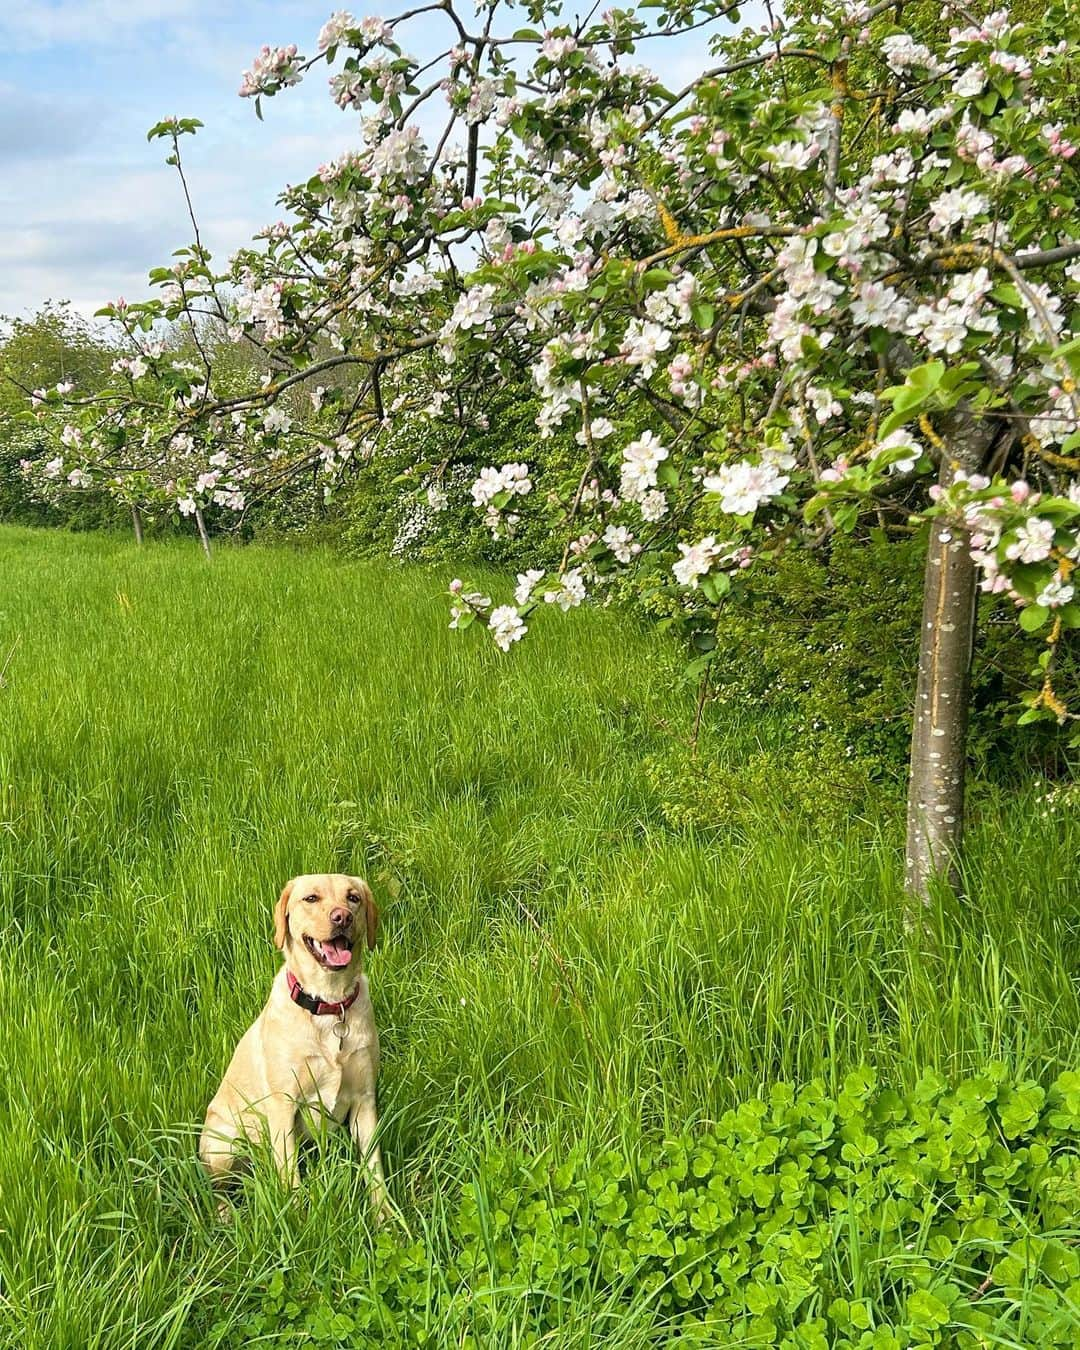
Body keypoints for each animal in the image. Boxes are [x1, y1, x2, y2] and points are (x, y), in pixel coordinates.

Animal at [199, 874, 391, 1215]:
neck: (329, 1005)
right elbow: (290, 1176)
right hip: (223, 1144)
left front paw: (386, 1218)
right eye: (311, 898)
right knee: (218, 1190)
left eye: (353, 897)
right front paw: (299, 1217)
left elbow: (374, 1170)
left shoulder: (365, 1102)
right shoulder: (284, 1106)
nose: (342, 917)